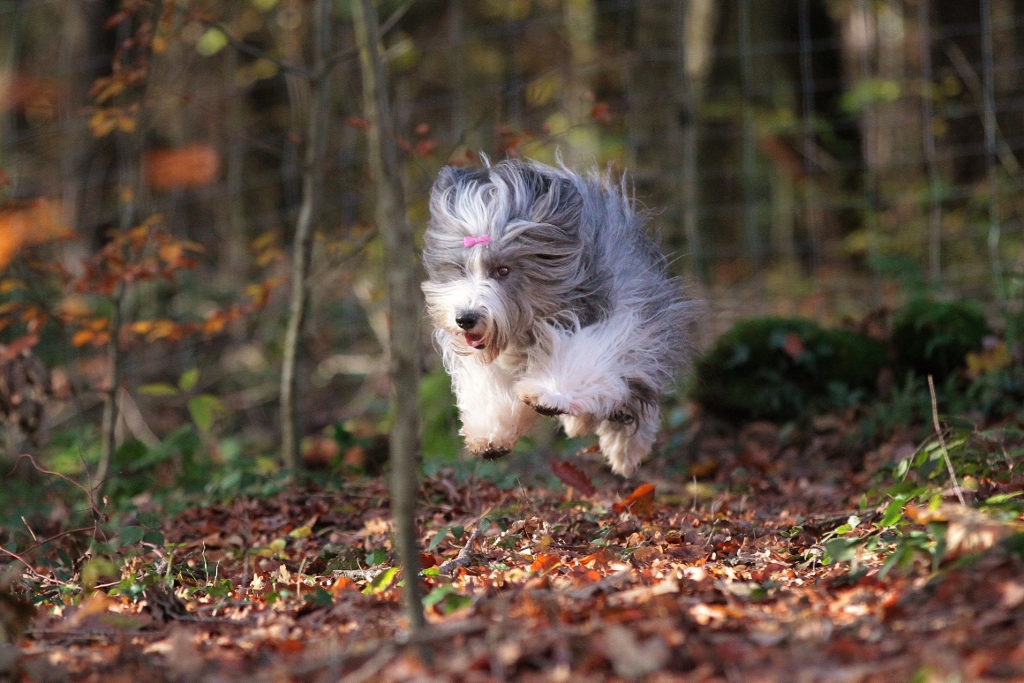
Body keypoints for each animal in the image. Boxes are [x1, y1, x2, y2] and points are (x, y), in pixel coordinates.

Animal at [419, 158, 692, 475]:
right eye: (461, 269)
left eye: (503, 270)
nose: (465, 318)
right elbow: (490, 379)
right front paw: (491, 433)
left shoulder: (624, 314)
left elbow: (587, 354)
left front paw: (550, 394)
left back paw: (624, 449)